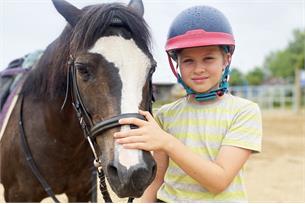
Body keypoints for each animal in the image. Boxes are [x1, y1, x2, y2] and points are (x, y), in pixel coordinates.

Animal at [0, 0, 156, 202]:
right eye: (83, 69)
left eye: (151, 68)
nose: (134, 172)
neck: (60, 143)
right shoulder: (18, 195)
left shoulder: (81, 192)